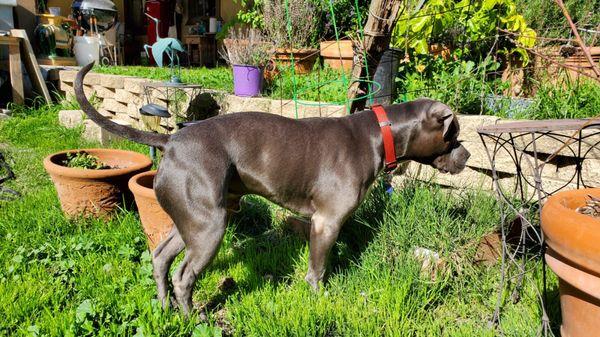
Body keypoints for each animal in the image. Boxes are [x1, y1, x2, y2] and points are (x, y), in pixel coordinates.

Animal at [74, 63, 468, 316]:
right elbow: (317, 271)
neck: (379, 133)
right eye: (453, 135)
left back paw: (164, 308)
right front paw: (319, 297)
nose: (467, 155)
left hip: (192, 221)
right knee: (183, 277)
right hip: (211, 228)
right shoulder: (325, 223)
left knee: (160, 259)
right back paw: (192, 317)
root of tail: (169, 140)